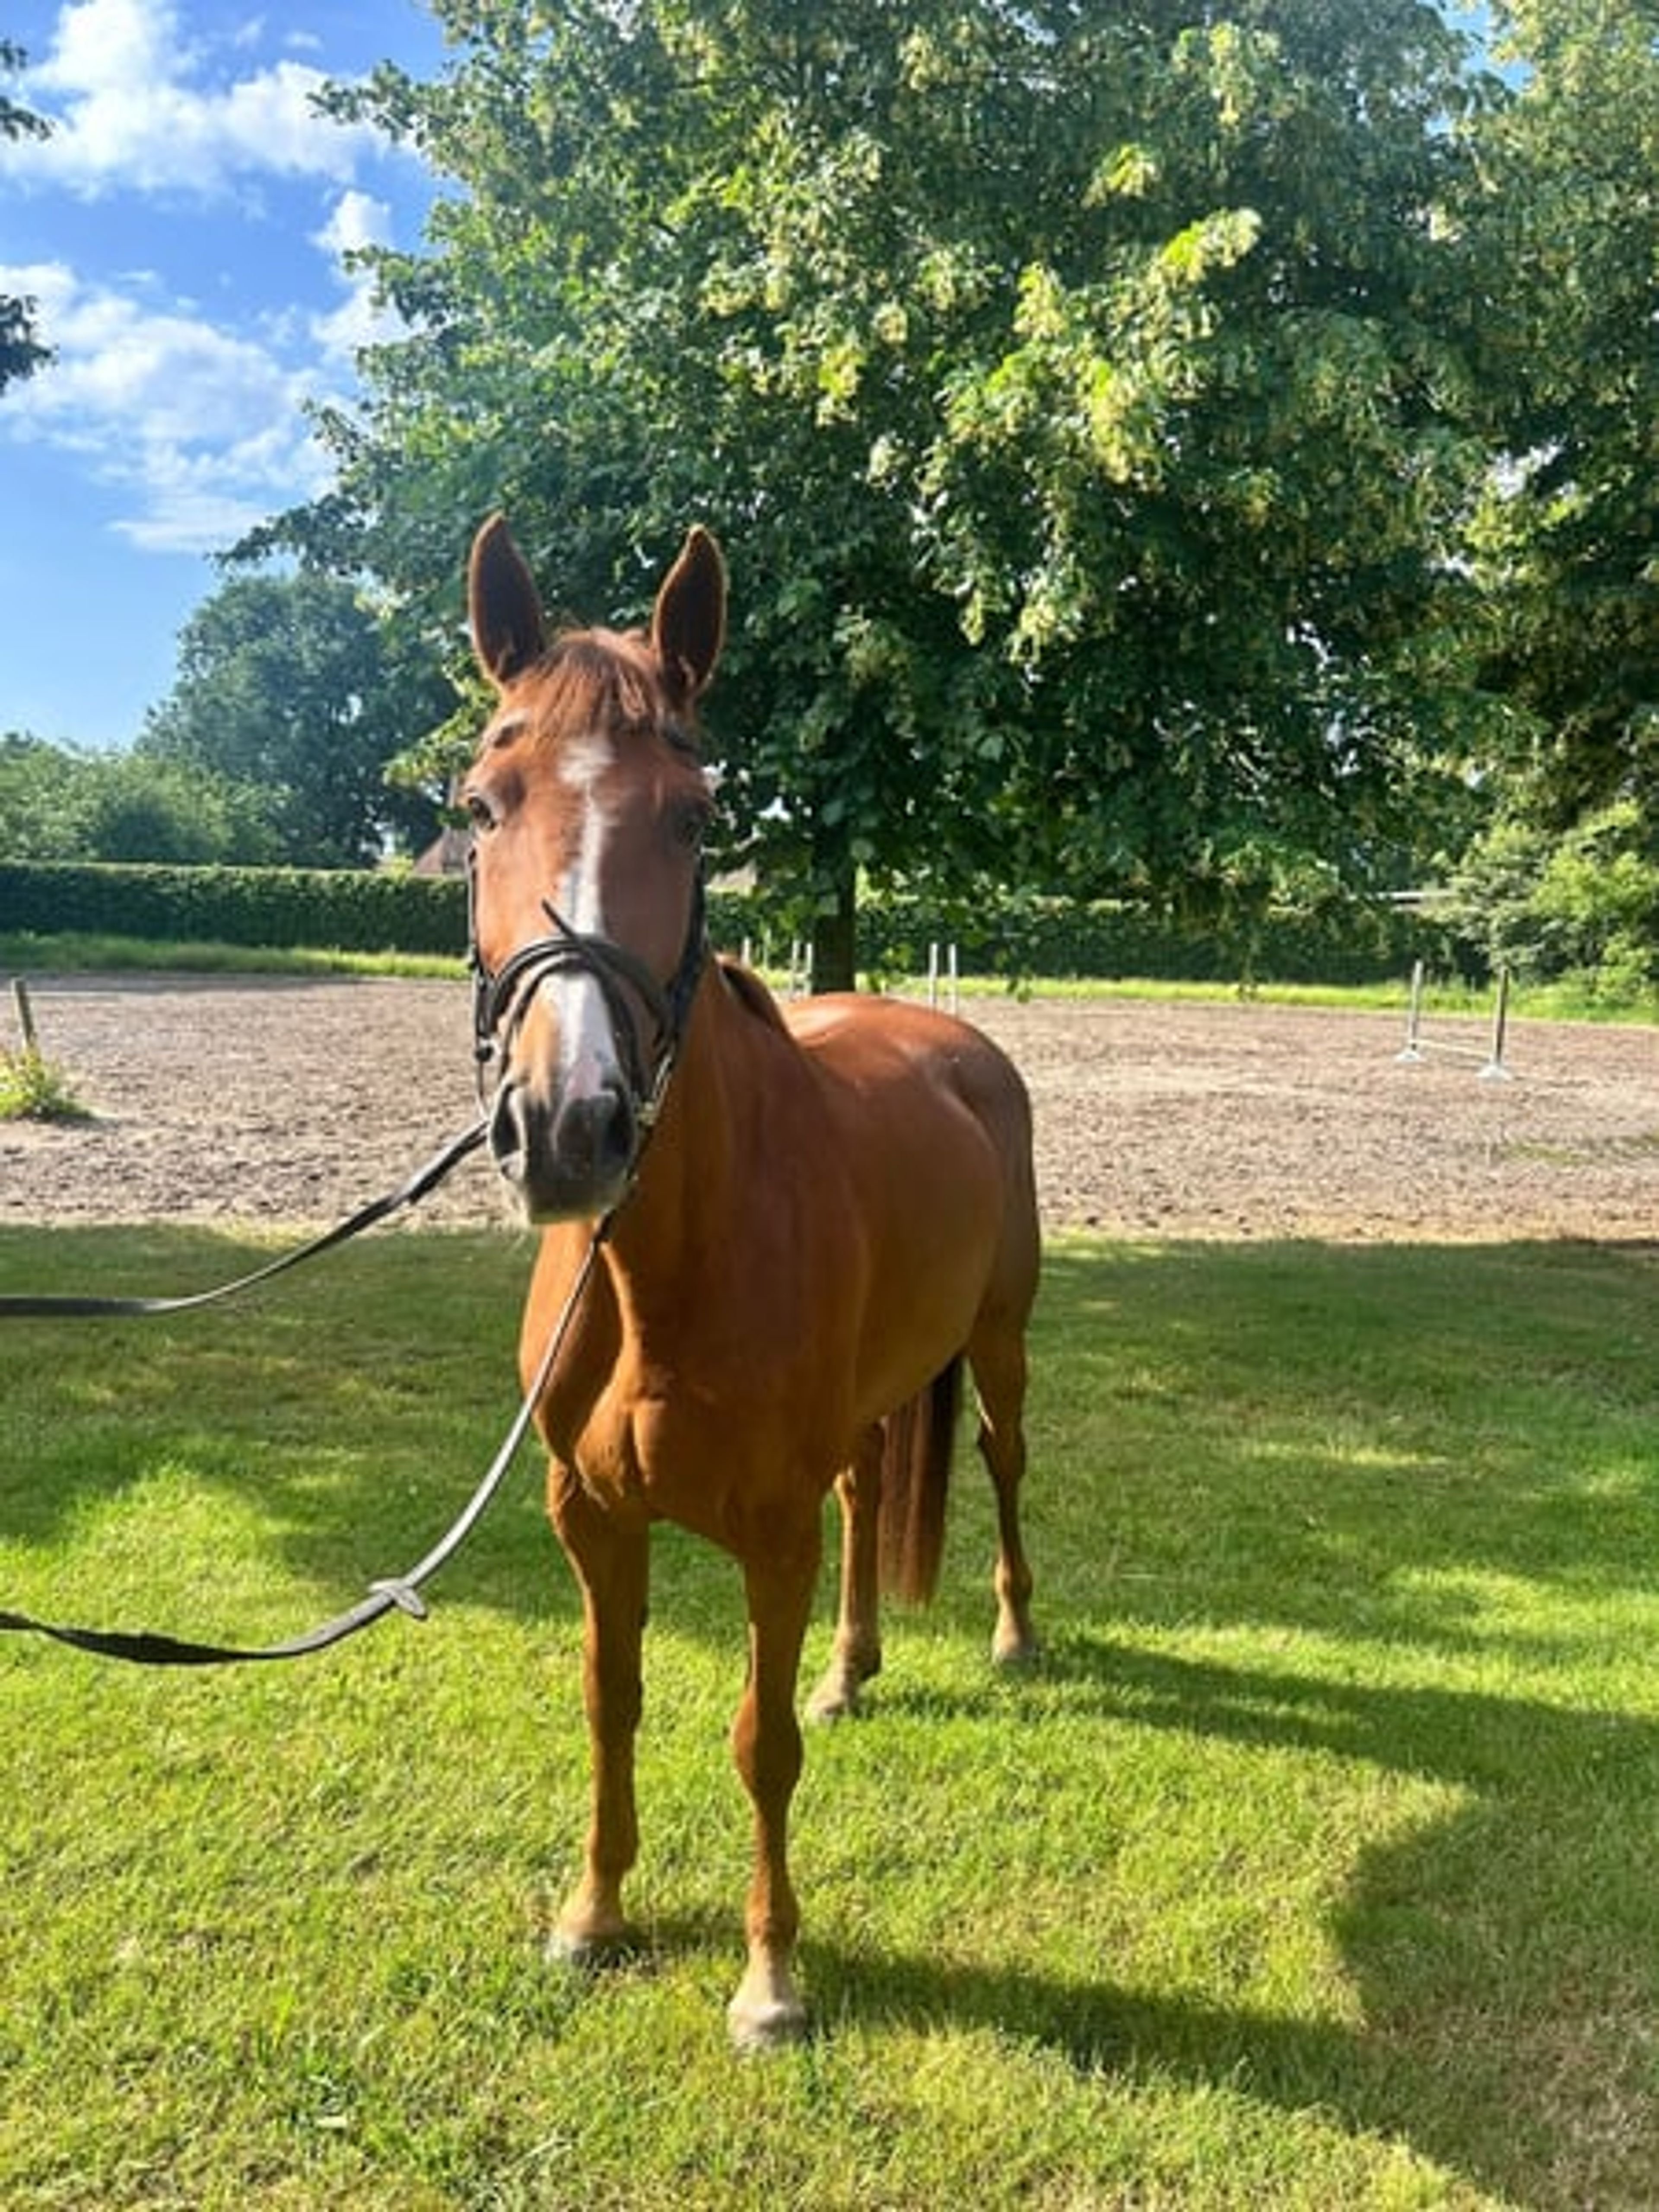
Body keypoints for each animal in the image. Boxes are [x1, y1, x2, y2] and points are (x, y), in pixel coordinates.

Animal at [462, 514, 1040, 2049]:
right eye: (481, 804)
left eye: (698, 818)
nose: (569, 1126)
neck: (663, 1273)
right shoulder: (589, 1516)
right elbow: (611, 1701)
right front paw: (593, 1912)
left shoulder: (768, 1535)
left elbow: (756, 1743)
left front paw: (771, 1979)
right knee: (871, 1493)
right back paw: (854, 1668)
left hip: (1002, 1342)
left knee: (1002, 1459)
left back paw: (1017, 1632)